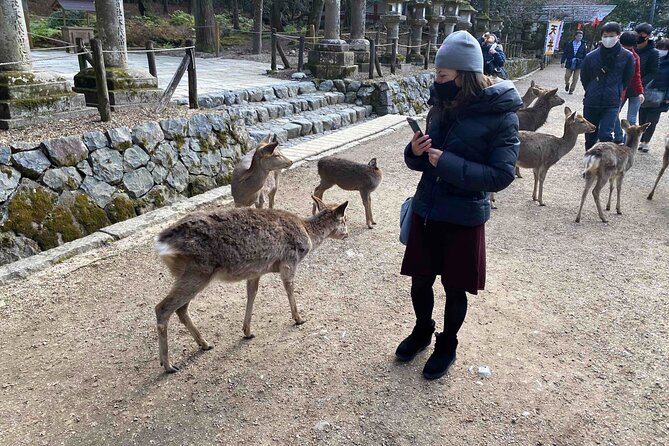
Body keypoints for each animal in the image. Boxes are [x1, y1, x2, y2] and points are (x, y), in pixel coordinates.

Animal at [153, 196, 348, 372]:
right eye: (344, 219)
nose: (347, 233)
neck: (307, 234)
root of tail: (162, 243)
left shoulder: (256, 271)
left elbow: (251, 293)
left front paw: (247, 330)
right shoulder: (289, 261)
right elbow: (289, 287)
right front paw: (299, 318)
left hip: (190, 275)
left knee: (180, 309)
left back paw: (204, 344)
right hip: (197, 272)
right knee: (162, 307)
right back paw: (168, 364)